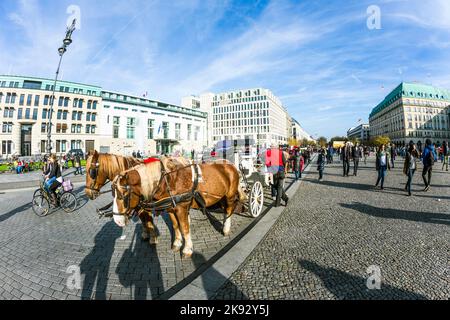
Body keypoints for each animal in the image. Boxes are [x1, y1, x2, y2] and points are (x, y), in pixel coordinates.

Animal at [111, 159, 246, 258]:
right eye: (113, 193)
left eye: (123, 195)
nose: (117, 221)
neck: (168, 180)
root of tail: (230, 164)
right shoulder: (171, 209)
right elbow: (176, 226)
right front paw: (177, 243)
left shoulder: (181, 208)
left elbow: (185, 228)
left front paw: (187, 249)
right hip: (221, 196)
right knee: (225, 209)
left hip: (229, 195)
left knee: (229, 209)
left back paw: (226, 229)